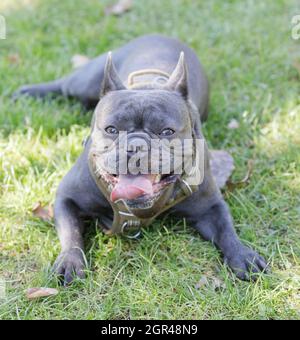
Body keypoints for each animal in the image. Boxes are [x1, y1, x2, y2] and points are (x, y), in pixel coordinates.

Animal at [14, 35, 268, 284]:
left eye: (167, 131)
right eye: (111, 129)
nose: (136, 145)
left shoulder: (210, 207)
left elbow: (226, 229)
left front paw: (242, 255)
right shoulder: (67, 198)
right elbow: (71, 233)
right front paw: (70, 261)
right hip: (85, 83)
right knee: (65, 86)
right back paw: (28, 91)